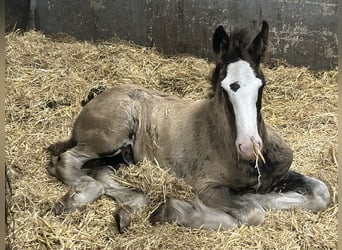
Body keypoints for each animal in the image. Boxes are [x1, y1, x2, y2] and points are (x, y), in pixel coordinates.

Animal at [47, 20, 328, 231]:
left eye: (262, 84)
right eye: (224, 87)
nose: (250, 147)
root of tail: (96, 98)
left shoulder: (281, 172)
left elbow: (321, 193)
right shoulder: (206, 186)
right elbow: (253, 211)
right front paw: (176, 210)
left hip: (122, 157)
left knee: (101, 172)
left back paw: (127, 209)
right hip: (109, 137)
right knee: (67, 160)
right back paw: (77, 198)